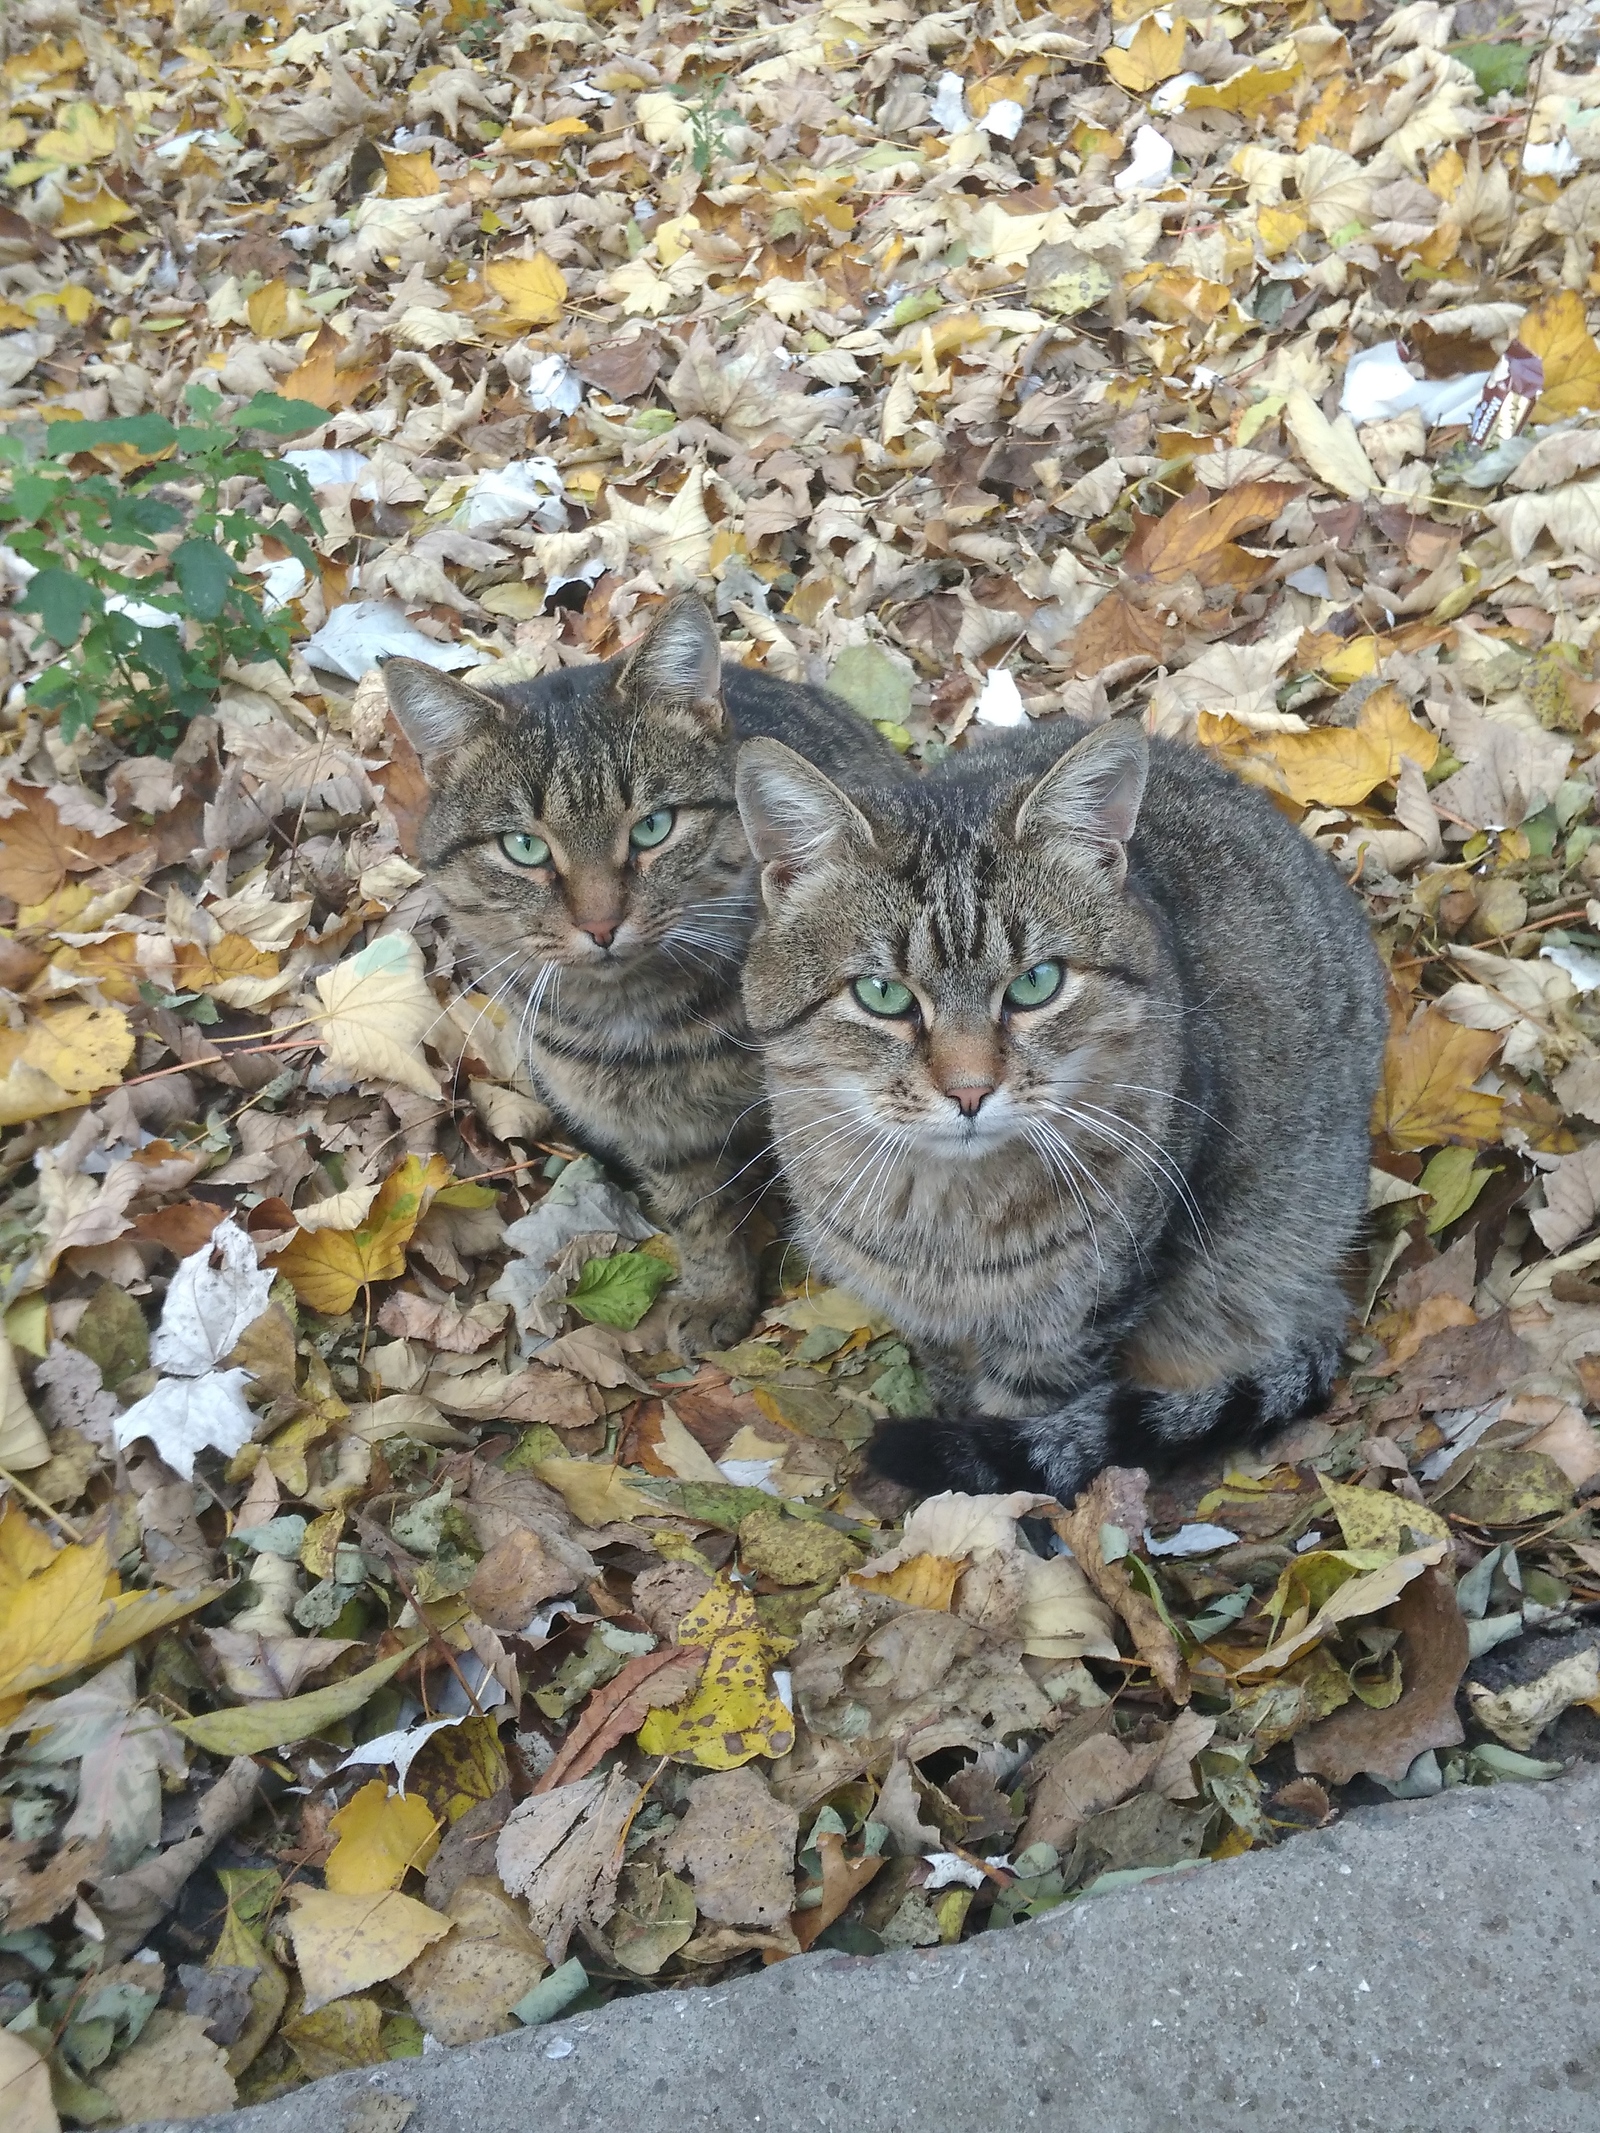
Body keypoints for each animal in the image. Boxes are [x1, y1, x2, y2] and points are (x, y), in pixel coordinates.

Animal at [377, 592, 904, 1348]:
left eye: (654, 827)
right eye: (522, 847)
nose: (601, 925)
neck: (647, 1023)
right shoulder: (659, 1138)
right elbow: (699, 1219)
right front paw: (717, 1295)